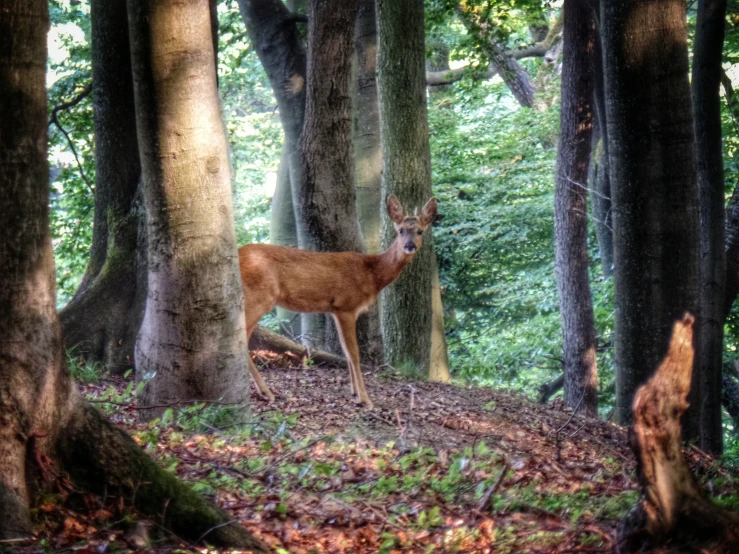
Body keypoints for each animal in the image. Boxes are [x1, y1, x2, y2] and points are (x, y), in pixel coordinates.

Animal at [238, 193, 440, 406]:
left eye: (420, 231)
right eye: (400, 230)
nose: (409, 246)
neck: (371, 274)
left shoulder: (335, 310)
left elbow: (345, 352)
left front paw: (354, 393)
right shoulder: (346, 306)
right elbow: (354, 353)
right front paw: (365, 400)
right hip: (258, 298)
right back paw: (266, 392)